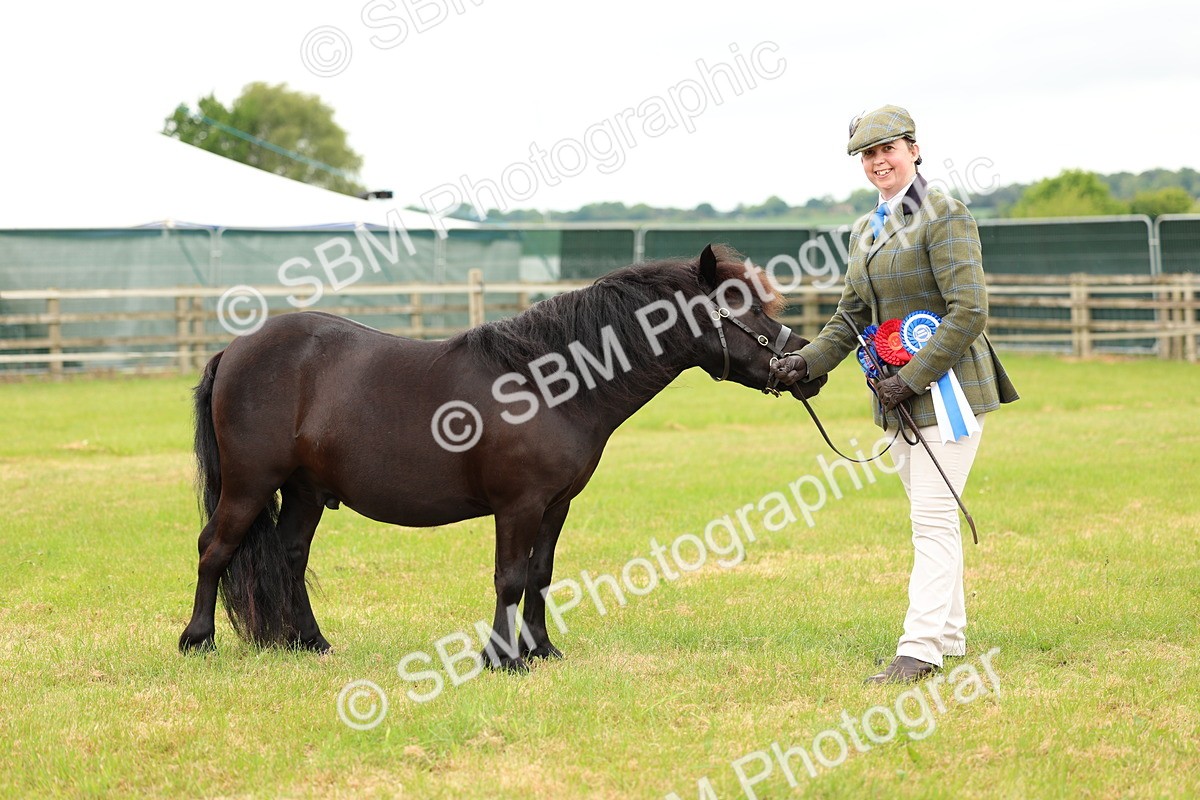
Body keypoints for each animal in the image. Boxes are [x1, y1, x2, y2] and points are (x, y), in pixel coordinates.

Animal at [178, 244, 826, 670]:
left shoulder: (556, 506)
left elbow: (539, 575)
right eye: (746, 309)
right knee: (215, 548)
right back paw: (198, 641)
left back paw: (307, 642)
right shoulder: (518, 505)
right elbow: (509, 578)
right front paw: (502, 657)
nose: (804, 367)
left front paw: (542, 650)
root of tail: (233, 350)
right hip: (250, 484)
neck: (548, 383)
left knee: (289, 557)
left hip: (306, 491)